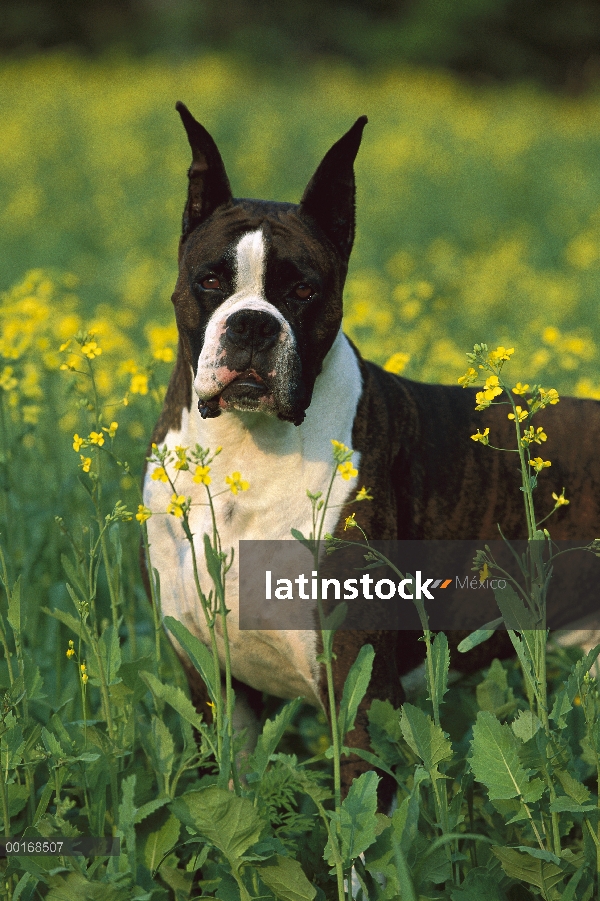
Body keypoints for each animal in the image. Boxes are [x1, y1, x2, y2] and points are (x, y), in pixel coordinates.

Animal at [143, 105, 600, 800]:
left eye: (304, 291)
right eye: (211, 280)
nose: (253, 323)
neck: (245, 448)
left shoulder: (357, 687)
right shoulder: (213, 688)